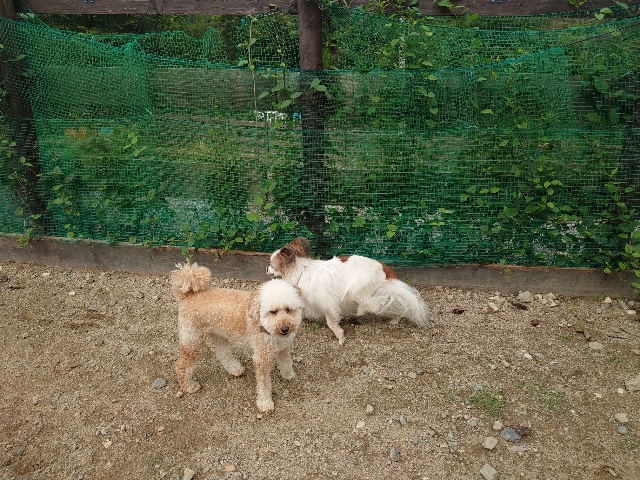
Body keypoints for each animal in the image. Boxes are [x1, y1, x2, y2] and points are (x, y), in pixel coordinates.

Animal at [171, 262, 304, 413]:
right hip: (192, 340)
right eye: (273, 312)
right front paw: (265, 403)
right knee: (181, 366)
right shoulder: (262, 358)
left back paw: (235, 369)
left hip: (219, 334)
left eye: (288, 309)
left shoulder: (283, 347)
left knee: (222, 353)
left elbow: (286, 362)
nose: (285, 329)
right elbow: (264, 384)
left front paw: (288, 375)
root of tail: (187, 295)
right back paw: (189, 386)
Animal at [266, 237, 430, 345]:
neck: (301, 271)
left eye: (271, 264)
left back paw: (361, 312)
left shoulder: (328, 304)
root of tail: (382, 265)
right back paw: (395, 319)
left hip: (357, 291)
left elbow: (331, 323)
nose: (266, 269)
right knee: (390, 302)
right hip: (379, 290)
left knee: (375, 306)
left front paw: (340, 337)